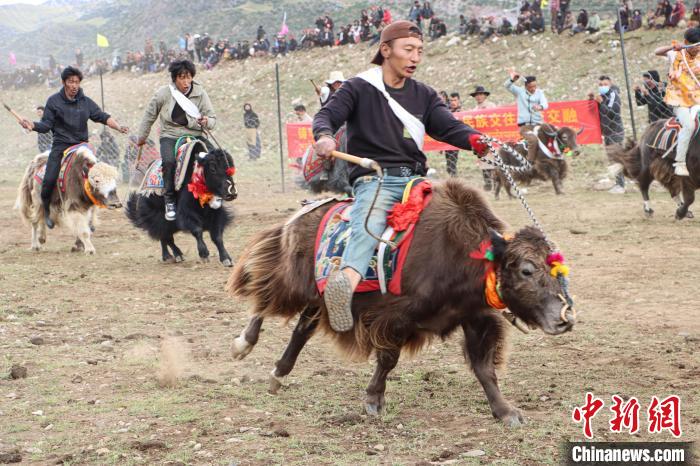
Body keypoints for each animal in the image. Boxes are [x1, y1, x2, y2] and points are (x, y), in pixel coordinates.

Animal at [226, 179, 576, 427]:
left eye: (556, 269)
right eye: (526, 270)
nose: (563, 318)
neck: (463, 254)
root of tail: (311, 208)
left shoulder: (474, 316)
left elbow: (484, 367)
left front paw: (505, 412)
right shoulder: (395, 317)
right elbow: (388, 360)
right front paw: (373, 400)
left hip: (323, 298)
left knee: (300, 329)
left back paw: (277, 375)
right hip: (295, 281)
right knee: (263, 296)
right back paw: (243, 344)